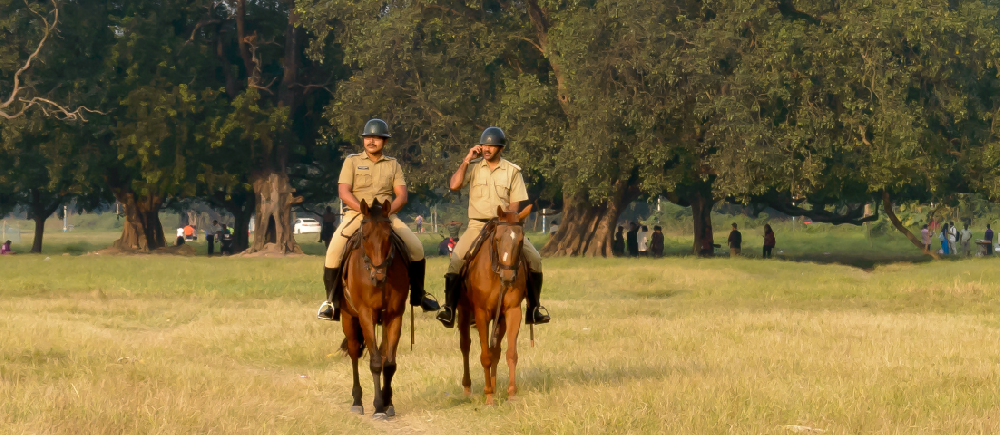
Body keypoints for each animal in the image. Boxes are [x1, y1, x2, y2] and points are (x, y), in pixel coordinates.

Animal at [340, 199, 410, 420]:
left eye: (389, 236)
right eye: (365, 236)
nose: (378, 276)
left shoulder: (394, 315)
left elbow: (389, 363)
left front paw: (388, 403)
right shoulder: (365, 315)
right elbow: (376, 362)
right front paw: (379, 407)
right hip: (348, 318)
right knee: (354, 352)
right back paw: (357, 401)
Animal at [458, 206, 532, 408]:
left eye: (520, 240)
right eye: (497, 239)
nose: (508, 277)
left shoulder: (512, 311)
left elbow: (510, 353)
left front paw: (511, 394)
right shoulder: (481, 314)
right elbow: (484, 356)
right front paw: (489, 396)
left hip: (500, 319)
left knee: (495, 350)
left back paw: (494, 385)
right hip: (463, 312)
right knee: (465, 346)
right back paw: (468, 388)